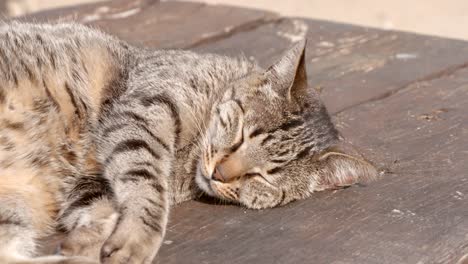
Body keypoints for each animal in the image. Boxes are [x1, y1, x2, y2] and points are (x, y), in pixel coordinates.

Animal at [0, 21, 376, 264]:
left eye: (263, 177)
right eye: (242, 134)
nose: (220, 173)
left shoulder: (90, 181)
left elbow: (101, 207)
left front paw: (89, 244)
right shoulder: (143, 110)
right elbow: (146, 187)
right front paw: (137, 237)